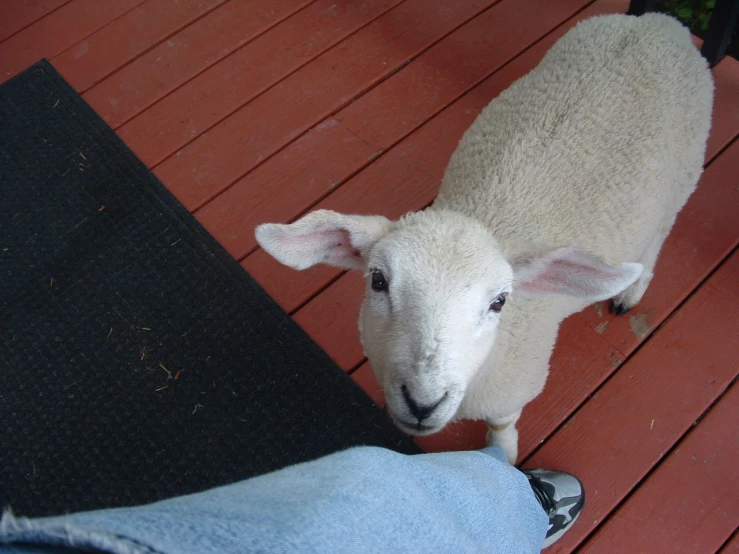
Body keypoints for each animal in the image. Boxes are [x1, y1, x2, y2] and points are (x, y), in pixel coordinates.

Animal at [253, 11, 712, 462]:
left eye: (499, 302)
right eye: (378, 281)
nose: (422, 403)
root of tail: (660, 22)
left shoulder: (512, 389)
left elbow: (502, 425)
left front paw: (503, 454)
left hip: (683, 179)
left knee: (656, 242)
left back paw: (631, 291)